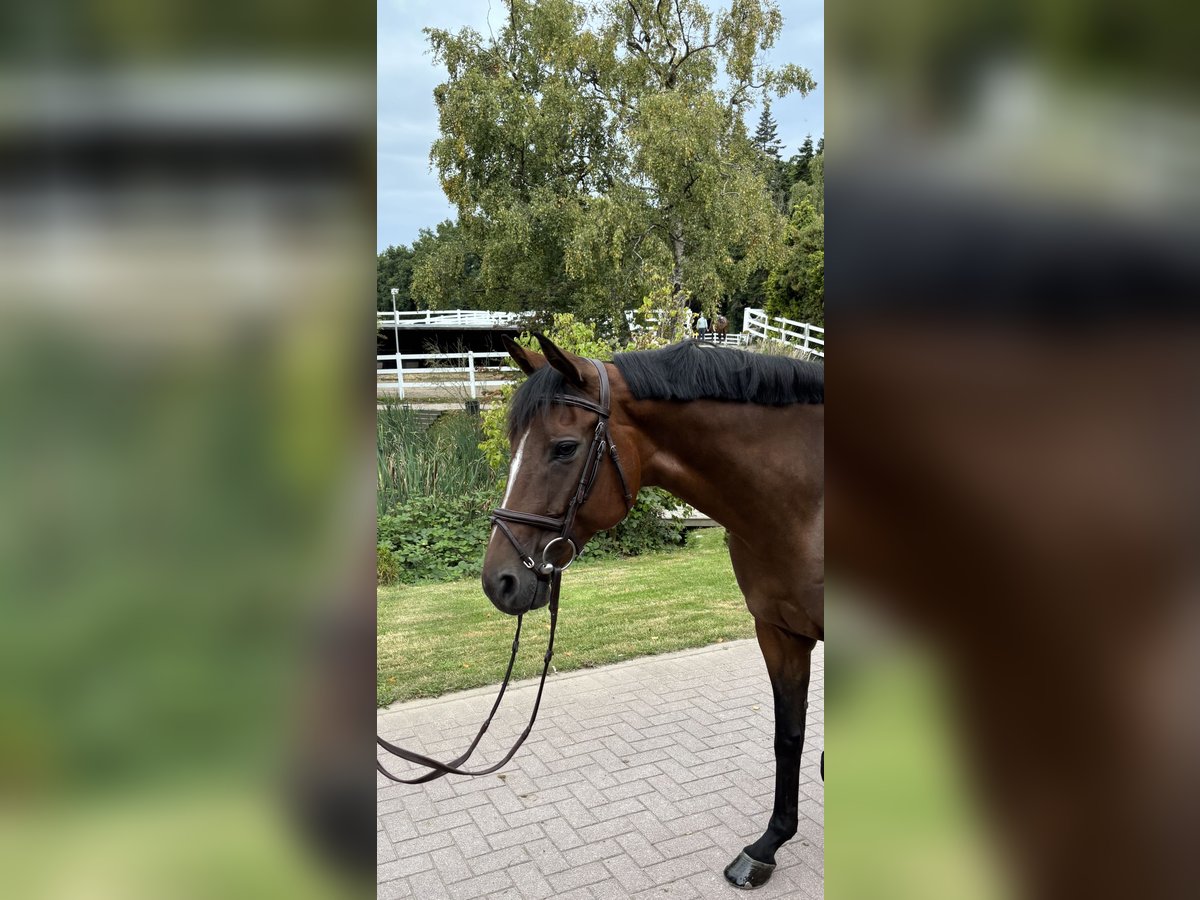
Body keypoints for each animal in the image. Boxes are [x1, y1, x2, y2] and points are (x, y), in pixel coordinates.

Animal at [483, 333, 823, 889]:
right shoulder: (778, 631)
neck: (807, 504)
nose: (500, 581)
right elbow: (788, 735)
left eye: (564, 447)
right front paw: (767, 847)